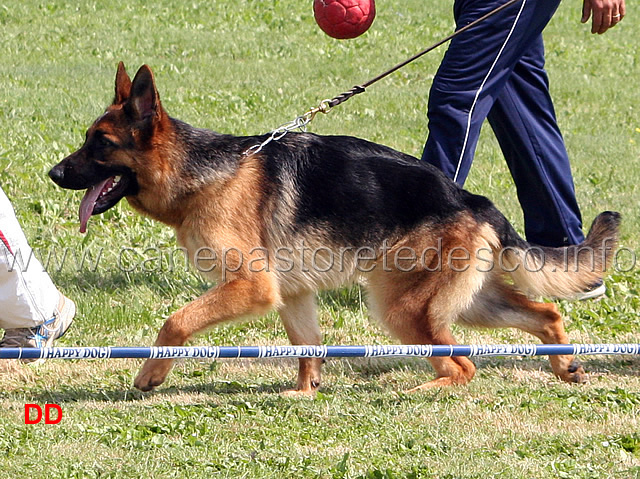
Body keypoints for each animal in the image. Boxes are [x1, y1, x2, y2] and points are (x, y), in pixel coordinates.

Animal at [50, 62, 620, 396]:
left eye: (100, 144)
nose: (53, 174)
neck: (204, 173)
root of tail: (472, 199)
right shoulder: (292, 293)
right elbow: (308, 346)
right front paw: (305, 392)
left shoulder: (251, 287)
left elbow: (175, 322)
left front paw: (150, 374)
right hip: (465, 301)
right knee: (545, 313)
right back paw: (565, 366)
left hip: (399, 307)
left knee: (463, 368)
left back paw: (424, 390)